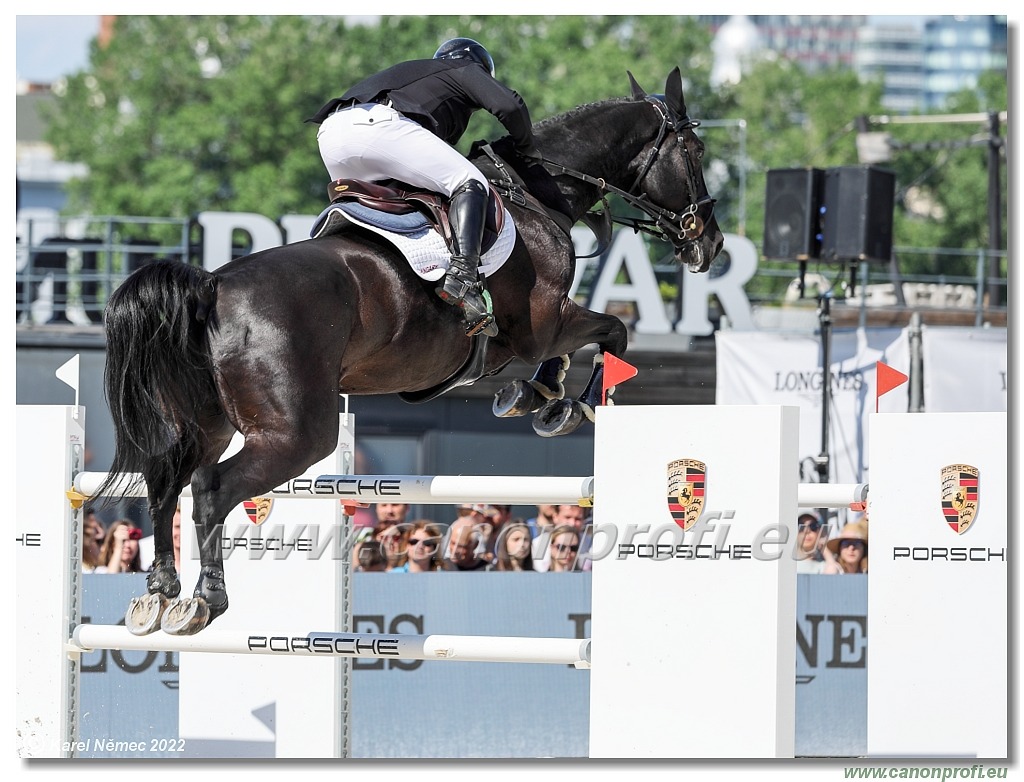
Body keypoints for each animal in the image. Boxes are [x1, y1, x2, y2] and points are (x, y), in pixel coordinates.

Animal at [94, 68, 720, 634]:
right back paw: (204, 600)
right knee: (210, 489)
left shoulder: (539, 330)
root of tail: (211, 285)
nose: (709, 242)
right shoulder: (541, 324)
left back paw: (158, 595)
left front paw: (535, 394)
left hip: (208, 424)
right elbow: (612, 331)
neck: (536, 197)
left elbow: (589, 342)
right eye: (695, 149)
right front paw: (563, 405)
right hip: (297, 434)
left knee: (165, 483)